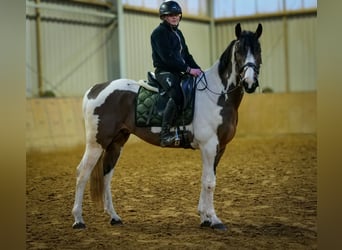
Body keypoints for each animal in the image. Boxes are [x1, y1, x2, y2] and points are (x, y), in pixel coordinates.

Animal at [72, 23, 264, 230]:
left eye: (258, 49)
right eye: (239, 50)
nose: (250, 82)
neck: (217, 94)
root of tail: (96, 89)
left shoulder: (219, 148)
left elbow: (206, 179)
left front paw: (204, 218)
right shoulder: (209, 145)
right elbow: (210, 182)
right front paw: (214, 220)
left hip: (116, 142)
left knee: (107, 175)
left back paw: (114, 217)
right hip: (96, 143)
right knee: (83, 173)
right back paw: (78, 220)